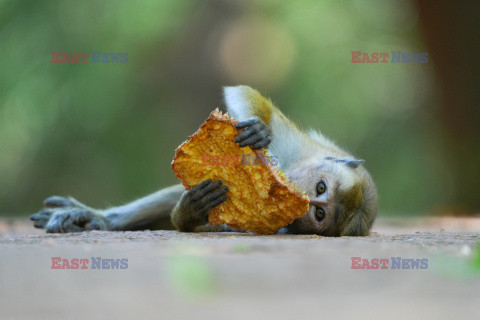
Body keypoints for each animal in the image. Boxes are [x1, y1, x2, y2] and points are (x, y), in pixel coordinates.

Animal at [30, 85, 376, 235]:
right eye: (320, 188)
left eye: (319, 214)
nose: (306, 199)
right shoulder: (300, 147)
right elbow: (247, 94)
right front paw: (257, 131)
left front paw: (189, 214)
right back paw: (102, 220)